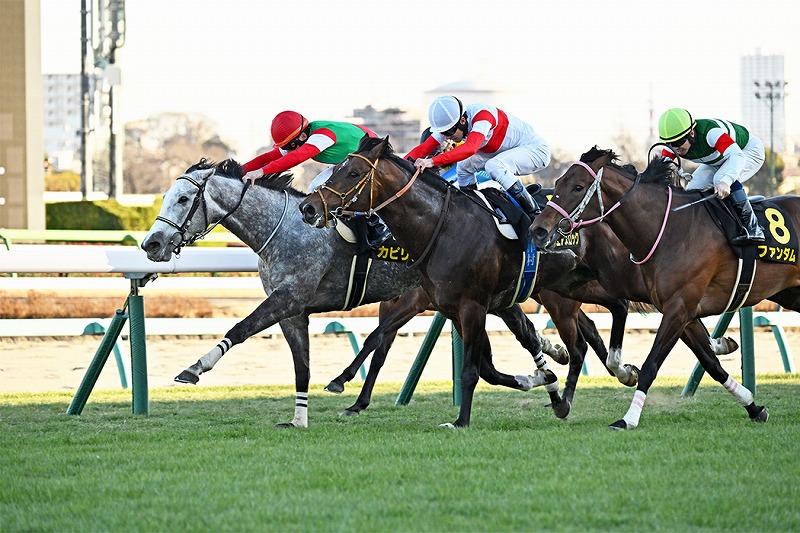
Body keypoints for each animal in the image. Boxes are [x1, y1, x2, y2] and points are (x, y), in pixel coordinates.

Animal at [142, 158, 586, 426]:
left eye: (184, 198)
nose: (151, 244)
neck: (283, 228)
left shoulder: (288, 298)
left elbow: (241, 328)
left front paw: (194, 368)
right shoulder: (294, 311)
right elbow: (301, 366)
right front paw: (299, 418)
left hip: (463, 300)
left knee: (528, 337)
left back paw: (552, 371)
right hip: (456, 301)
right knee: (509, 344)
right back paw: (547, 374)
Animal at [299, 136, 644, 427]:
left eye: (353, 172)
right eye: (337, 169)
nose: (308, 207)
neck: (442, 227)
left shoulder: (467, 305)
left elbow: (468, 369)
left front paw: (461, 420)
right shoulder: (452, 308)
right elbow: (486, 367)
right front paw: (540, 378)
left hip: (569, 294)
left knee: (593, 332)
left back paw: (591, 383)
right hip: (569, 285)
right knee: (602, 320)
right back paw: (612, 375)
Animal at [531, 146, 800, 429]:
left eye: (578, 187)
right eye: (559, 183)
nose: (538, 229)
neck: (669, 228)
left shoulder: (679, 308)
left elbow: (651, 365)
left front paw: (628, 419)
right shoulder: (681, 311)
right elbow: (711, 363)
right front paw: (753, 406)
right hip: (790, 293)